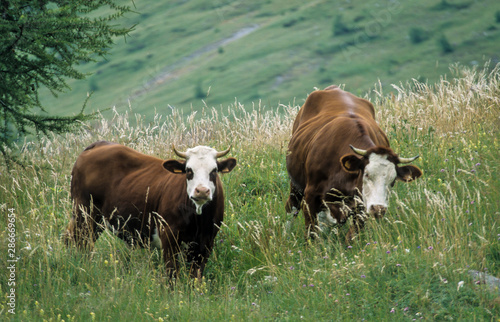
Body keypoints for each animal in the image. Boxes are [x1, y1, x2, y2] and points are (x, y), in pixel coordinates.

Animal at [63, 142, 237, 280]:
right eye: (189, 170)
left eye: (214, 170)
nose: (201, 191)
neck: (197, 220)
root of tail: (99, 144)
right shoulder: (169, 236)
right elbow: (172, 273)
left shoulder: (206, 242)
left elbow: (196, 276)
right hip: (84, 213)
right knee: (80, 242)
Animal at [286, 85, 422, 242]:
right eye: (367, 174)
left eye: (393, 181)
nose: (378, 209)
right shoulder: (310, 195)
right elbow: (311, 233)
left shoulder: (362, 207)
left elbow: (351, 237)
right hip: (296, 186)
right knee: (291, 207)